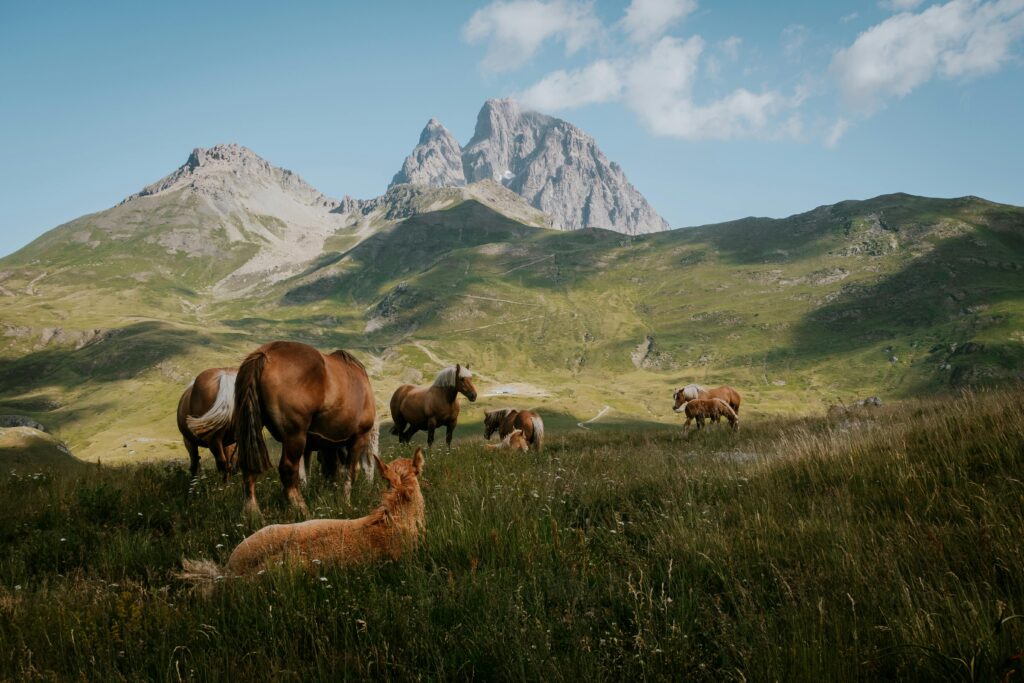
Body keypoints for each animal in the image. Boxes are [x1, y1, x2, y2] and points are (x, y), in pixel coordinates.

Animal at [233, 341, 377, 519]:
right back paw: (302, 509)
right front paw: (346, 502)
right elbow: (350, 471)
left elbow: (332, 470)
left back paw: (252, 512)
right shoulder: (359, 437)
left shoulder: (328, 444)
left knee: (249, 468)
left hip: (251, 430)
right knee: (287, 470)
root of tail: (266, 354)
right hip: (295, 436)